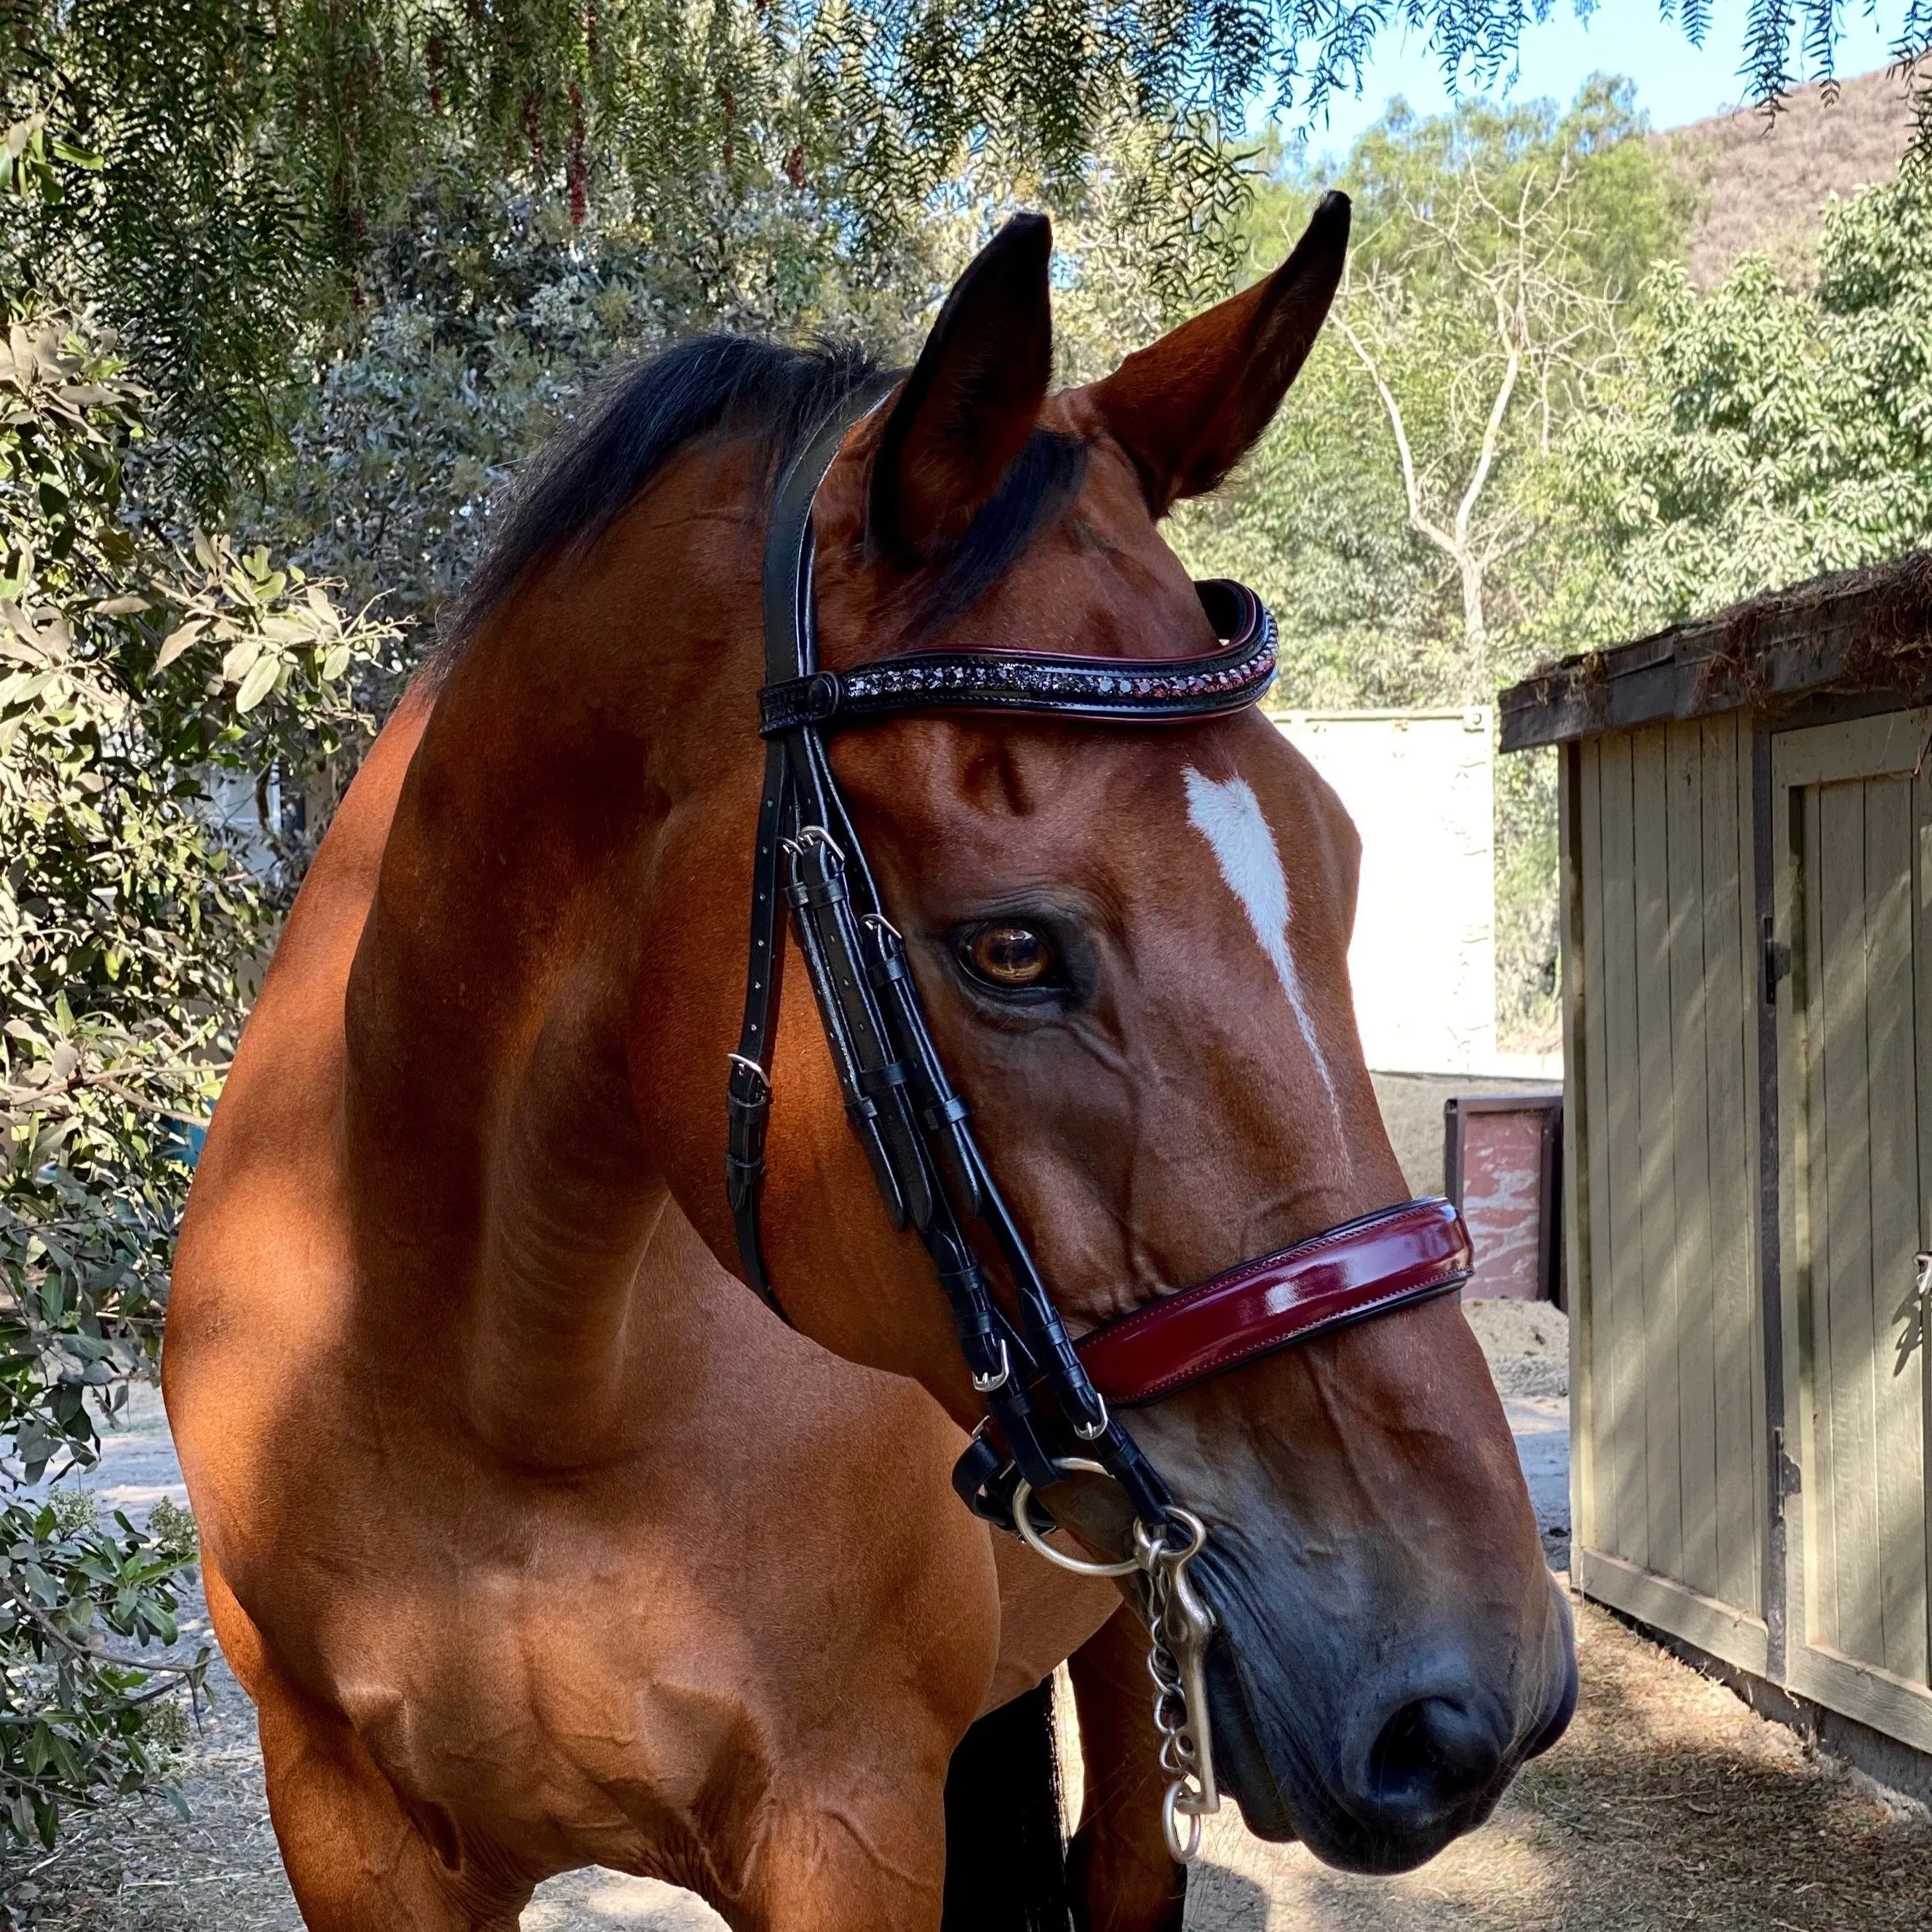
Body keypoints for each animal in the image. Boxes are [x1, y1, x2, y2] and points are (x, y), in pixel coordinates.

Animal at [166, 199, 1576, 1932]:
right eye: (1009, 947)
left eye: (1343, 863)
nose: (1482, 1691)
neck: (509, 1395)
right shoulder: (348, 1829)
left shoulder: (845, 1826)